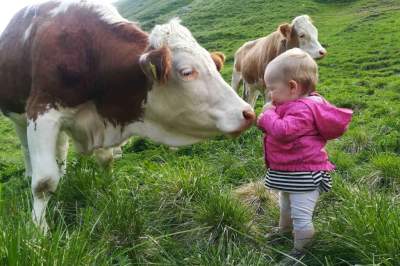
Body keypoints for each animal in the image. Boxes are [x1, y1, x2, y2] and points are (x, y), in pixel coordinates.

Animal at [0, 0, 256, 233]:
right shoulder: (42, 111)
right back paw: (30, 173)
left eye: (214, 65)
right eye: (186, 72)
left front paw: (109, 189)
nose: (247, 112)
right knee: (26, 147)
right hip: (19, 115)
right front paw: (38, 230)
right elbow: (44, 181)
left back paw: (62, 171)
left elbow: (106, 160)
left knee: (61, 147)